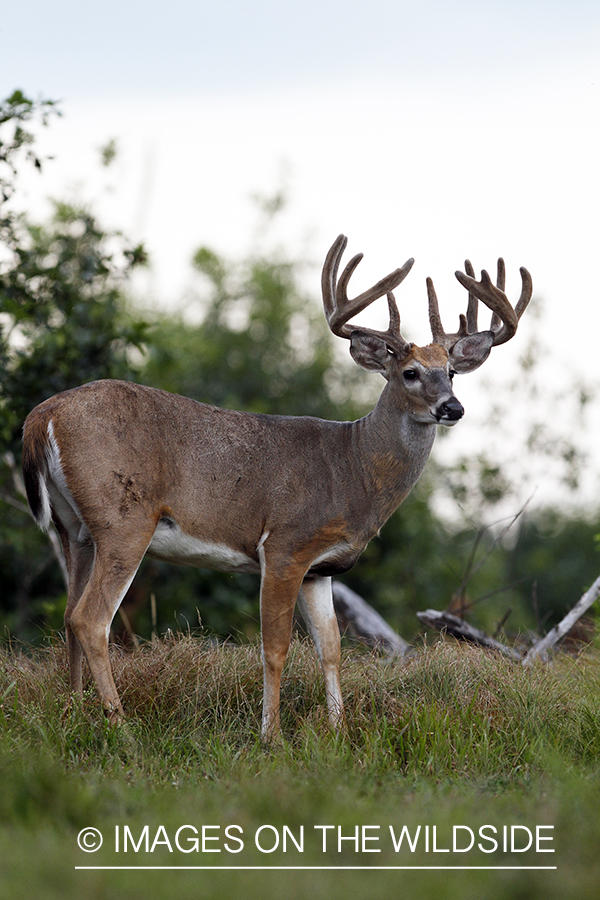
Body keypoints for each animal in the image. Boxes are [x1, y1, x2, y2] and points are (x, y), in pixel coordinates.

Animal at [21, 234, 532, 740]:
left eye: (452, 372)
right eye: (410, 372)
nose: (453, 407)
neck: (352, 468)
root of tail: (42, 417)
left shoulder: (319, 569)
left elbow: (331, 647)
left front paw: (338, 731)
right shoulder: (285, 545)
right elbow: (276, 647)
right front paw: (271, 736)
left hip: (74, 529)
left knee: (68, 613)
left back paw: (74, 712)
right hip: (123, 519)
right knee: (90, 619)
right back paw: (122, 727)